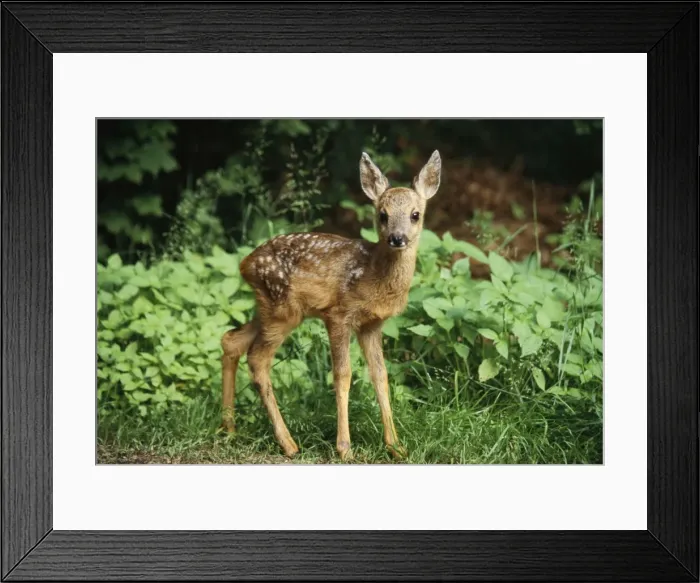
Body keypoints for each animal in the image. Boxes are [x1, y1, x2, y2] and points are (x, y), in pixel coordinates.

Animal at [220, 150, 441, 461]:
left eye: (415, 214)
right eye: (382, 215)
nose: (397, 238)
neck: (373, 273)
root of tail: (245, 264)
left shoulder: (371, 324)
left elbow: (380, 376)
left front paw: (396, 447)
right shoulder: (338, 314)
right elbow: (342, 375)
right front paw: (344, 448)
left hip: (269, 308)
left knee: (232, 341)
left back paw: (229, 428)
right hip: (282, 310)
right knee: (257, 359)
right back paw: (288, 443)